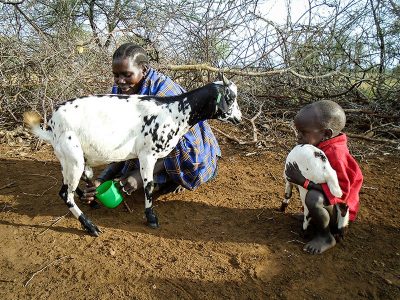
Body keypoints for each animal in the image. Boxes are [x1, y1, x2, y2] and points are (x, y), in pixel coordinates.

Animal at [24, 76, 241, 236]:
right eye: (230, 97)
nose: (239, 118)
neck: (175, 111)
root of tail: (51, 124)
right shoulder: (148, 155)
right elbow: (148, 186)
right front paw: (151, 217)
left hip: (70, 160)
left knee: (73, 187)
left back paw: (92, 201)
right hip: (73, 157)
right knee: (65, 194)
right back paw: (91, 227)